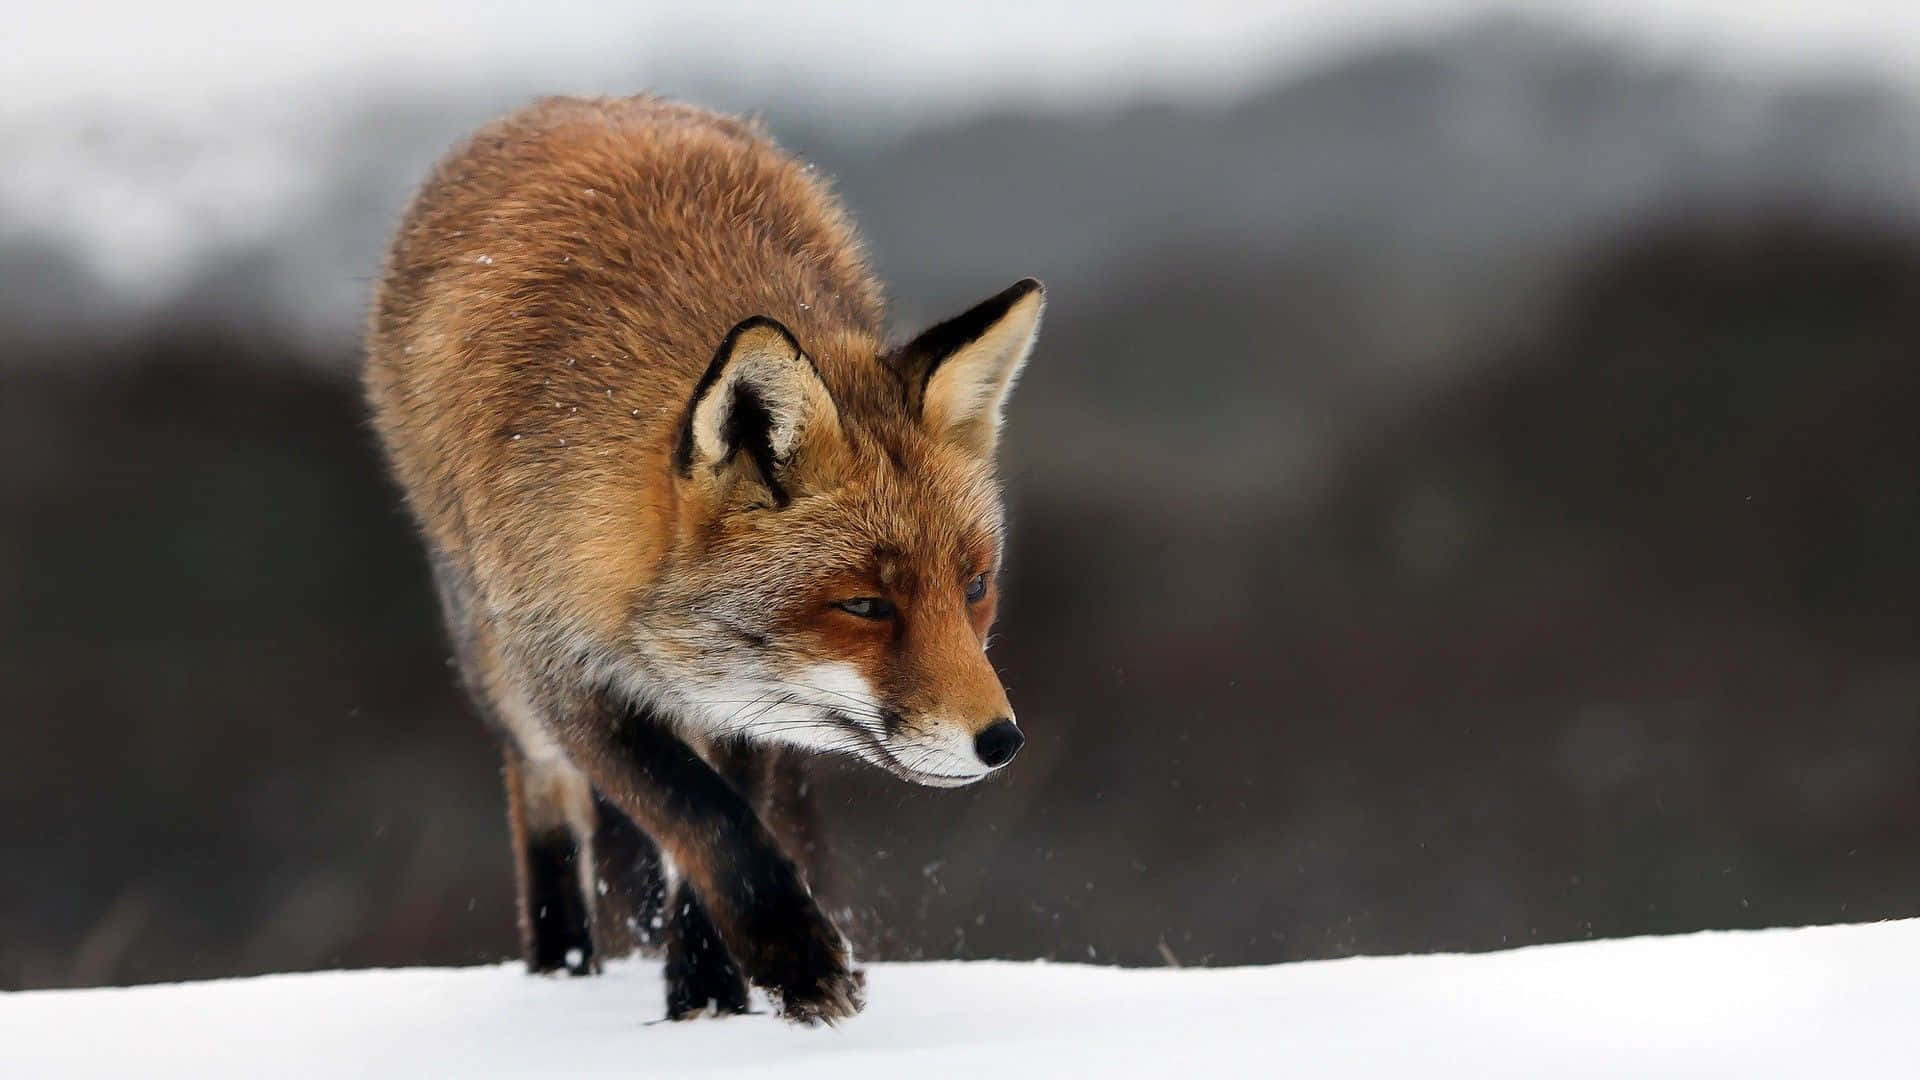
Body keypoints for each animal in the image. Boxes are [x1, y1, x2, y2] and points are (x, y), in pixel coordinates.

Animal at [364, 96, 1044, 1022]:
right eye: (866, 605)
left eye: (974, 588)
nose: (1001, 742)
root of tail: (571, 102)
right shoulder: (562, 669)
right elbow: (704, 820)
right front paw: (795, 957)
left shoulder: (741, 705)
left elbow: (717, 827)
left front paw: (708, 996)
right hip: (491, 653)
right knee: (541, 789)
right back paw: (559, 967)